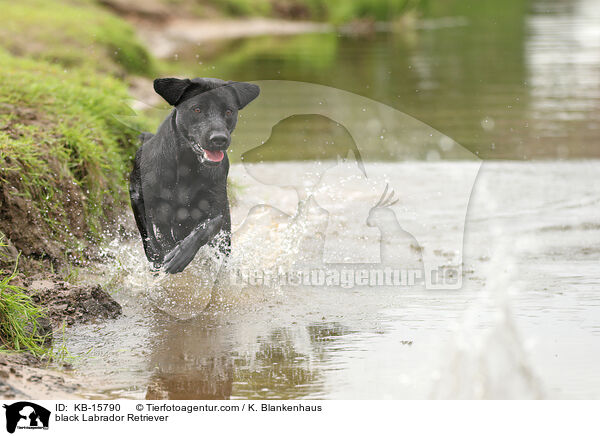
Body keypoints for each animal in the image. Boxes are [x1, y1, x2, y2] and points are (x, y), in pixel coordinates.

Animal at [129, 78, 260, 272]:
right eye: (197, 109)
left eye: (229, 111)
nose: (219, 139)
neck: (186, 165)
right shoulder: (140, 196)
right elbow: (149, 232)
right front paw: (158, 254)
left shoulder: (217, 203)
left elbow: (209, 225)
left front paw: (180, 255)